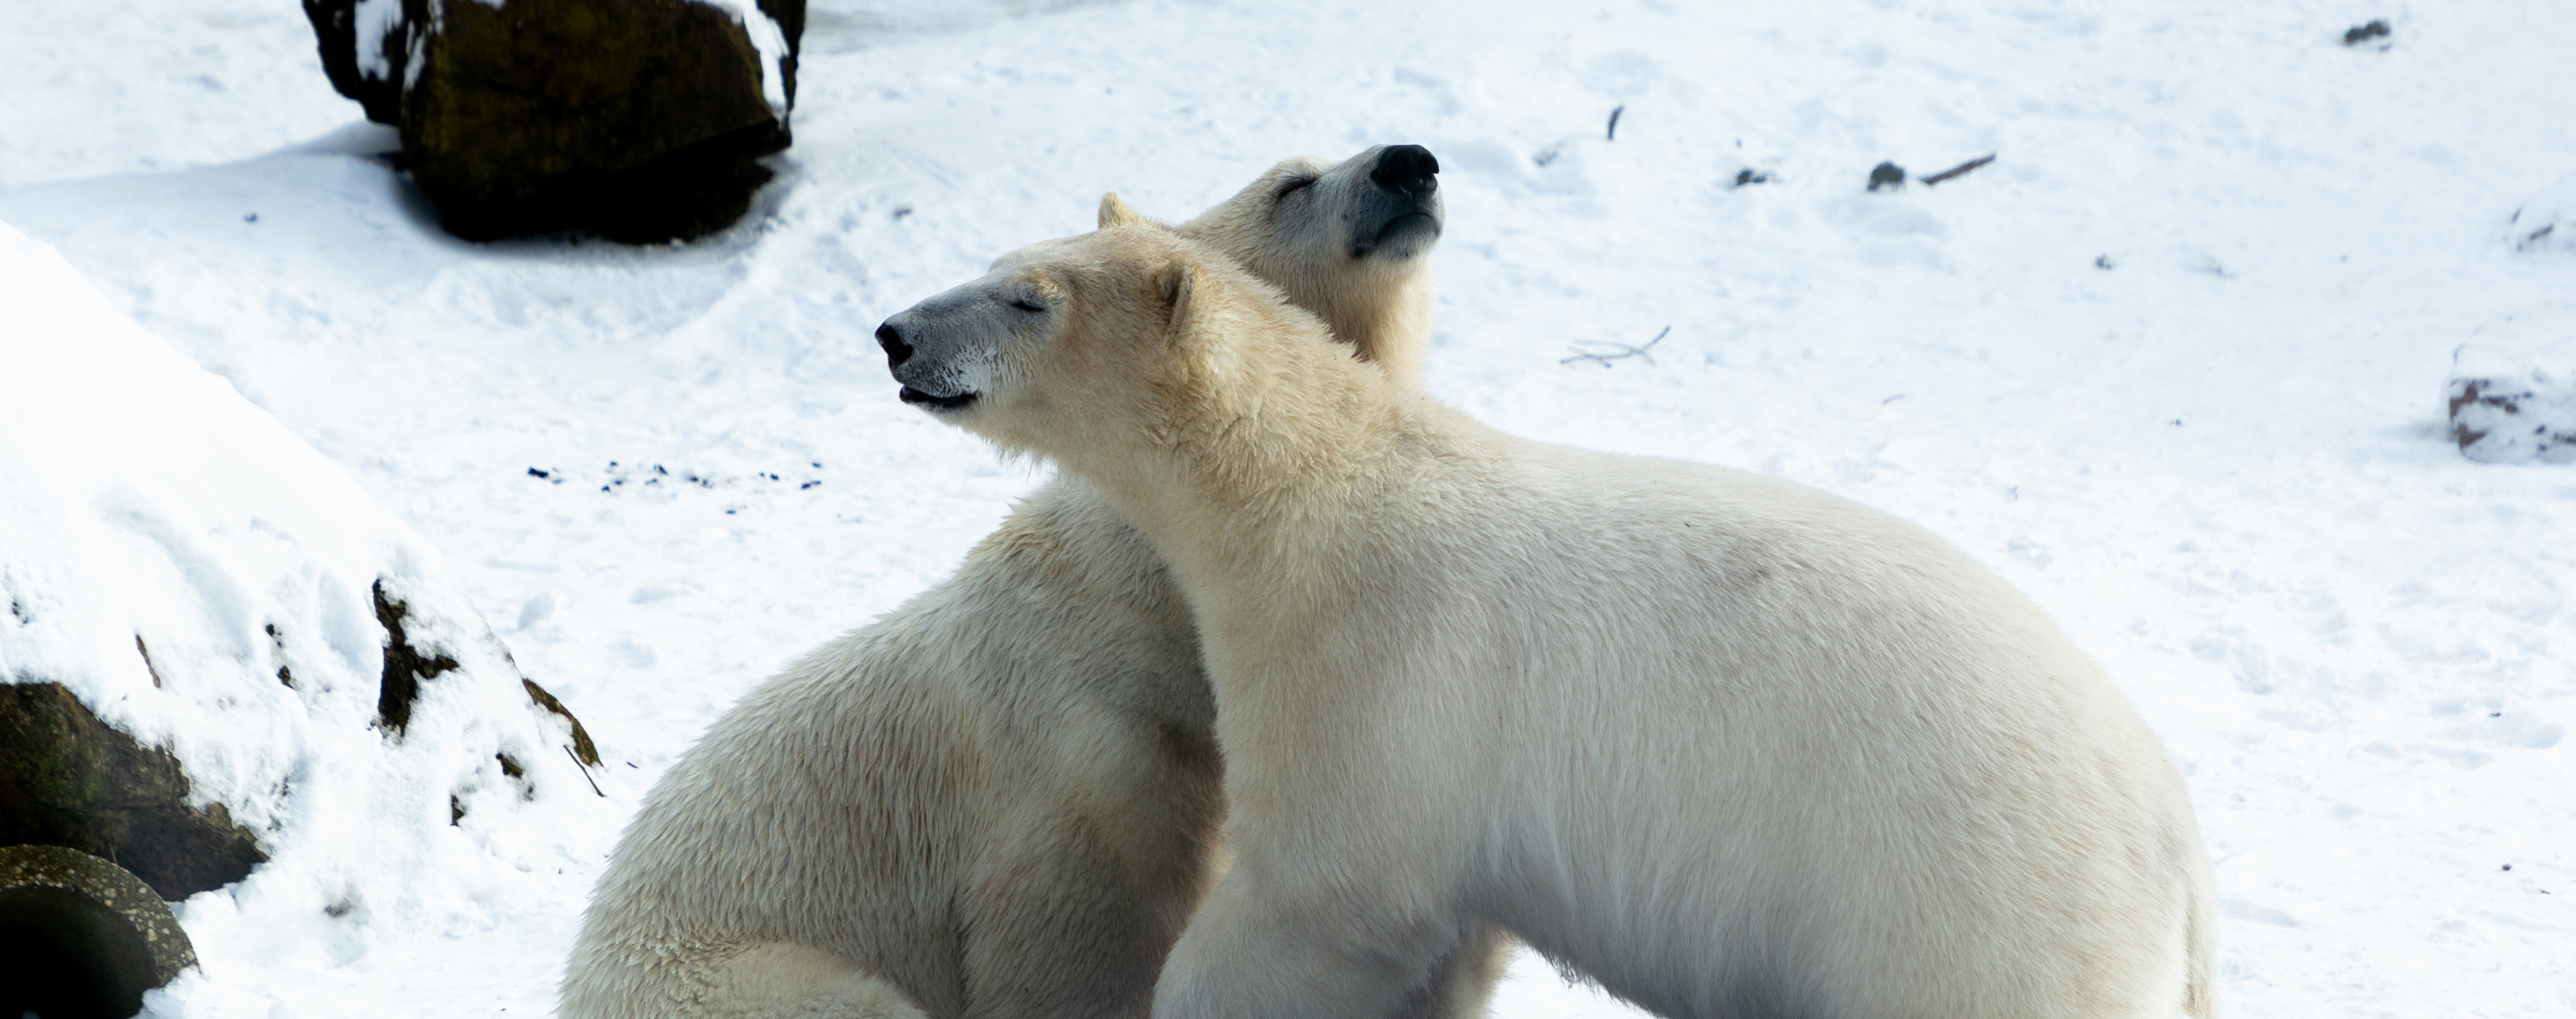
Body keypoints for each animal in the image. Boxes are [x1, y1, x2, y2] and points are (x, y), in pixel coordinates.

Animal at [549, 147, 1504, 1019]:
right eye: (1292, 183)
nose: (1407, 162)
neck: (1151, 600)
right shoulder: (1082, 760)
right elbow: (1074, 948)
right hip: (728, 974)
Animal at [875, 225, 2225, 1019]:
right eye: (996, 257)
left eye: (1025, 298)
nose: (894, 331)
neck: (1310, 497)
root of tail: (2173, 838)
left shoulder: (1374, 683)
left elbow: (1312, 893)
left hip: (1957, 902)